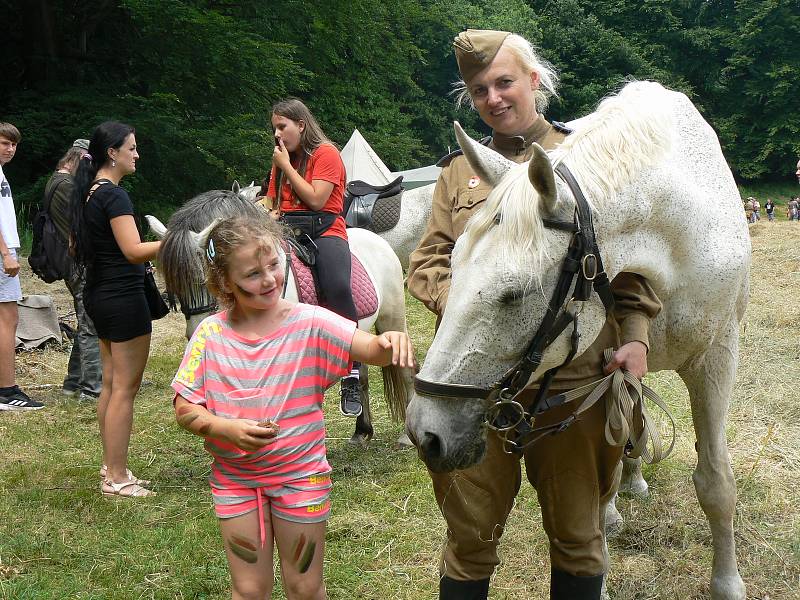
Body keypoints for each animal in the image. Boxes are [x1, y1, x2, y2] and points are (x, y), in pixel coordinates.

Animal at [406, 81, 752, 600]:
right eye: (454, 262)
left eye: (513, 294)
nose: (424, 432)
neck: (679, 228)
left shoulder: (716, 360)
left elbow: (716, 483)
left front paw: (727, 582)